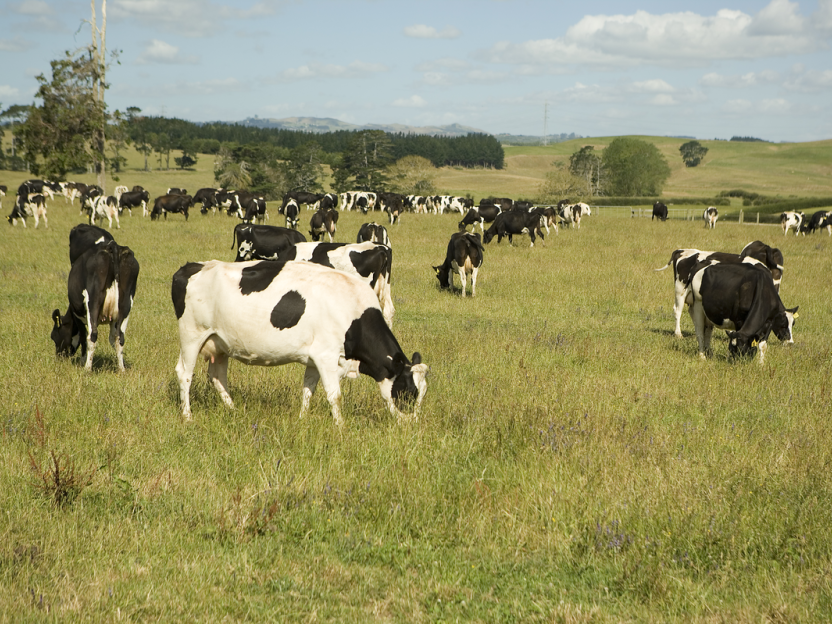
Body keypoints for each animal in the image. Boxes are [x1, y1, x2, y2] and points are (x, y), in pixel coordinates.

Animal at [51, 239, 140, 372]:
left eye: (54, 336)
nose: (59, 357)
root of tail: (112, 246)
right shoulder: (114, 319)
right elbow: (113, 339)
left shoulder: (78, 316)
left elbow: (83, 337)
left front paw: (82, 361)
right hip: (126, 305)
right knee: (120, 338)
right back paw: (122, 370)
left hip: (92, 302)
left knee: (92, 336)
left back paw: (87, 369)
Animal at [171, 259, 426, 424]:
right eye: (409, 392)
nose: (413, 422)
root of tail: (193, 266)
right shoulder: (326, 356)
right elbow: (334, 395)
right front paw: (341, 427)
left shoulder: (314, 359)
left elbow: (308, 390)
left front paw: (303, 419)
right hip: (192, 334)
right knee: (185, 373)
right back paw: (187, 416)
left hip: (220, 343)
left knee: (217, 376)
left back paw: (233, 410)